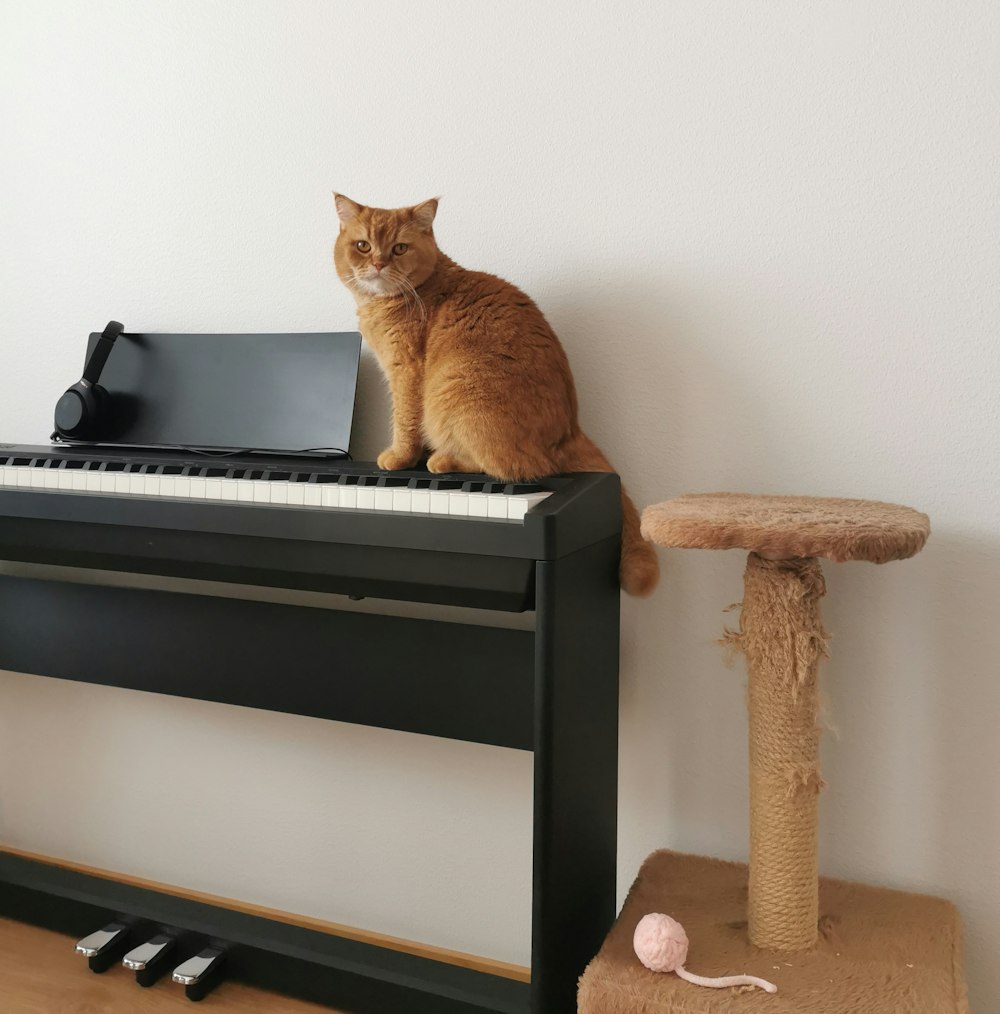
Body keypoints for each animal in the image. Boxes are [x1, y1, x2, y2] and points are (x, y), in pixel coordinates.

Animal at [330, 193, 657, 596]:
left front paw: (400, 457)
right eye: (363, 246)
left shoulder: (406, 372)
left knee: (515, 467)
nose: (378, 263)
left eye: (399, 248)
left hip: (457, 389)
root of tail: (572, 427)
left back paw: (443, 460)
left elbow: (405, 422)